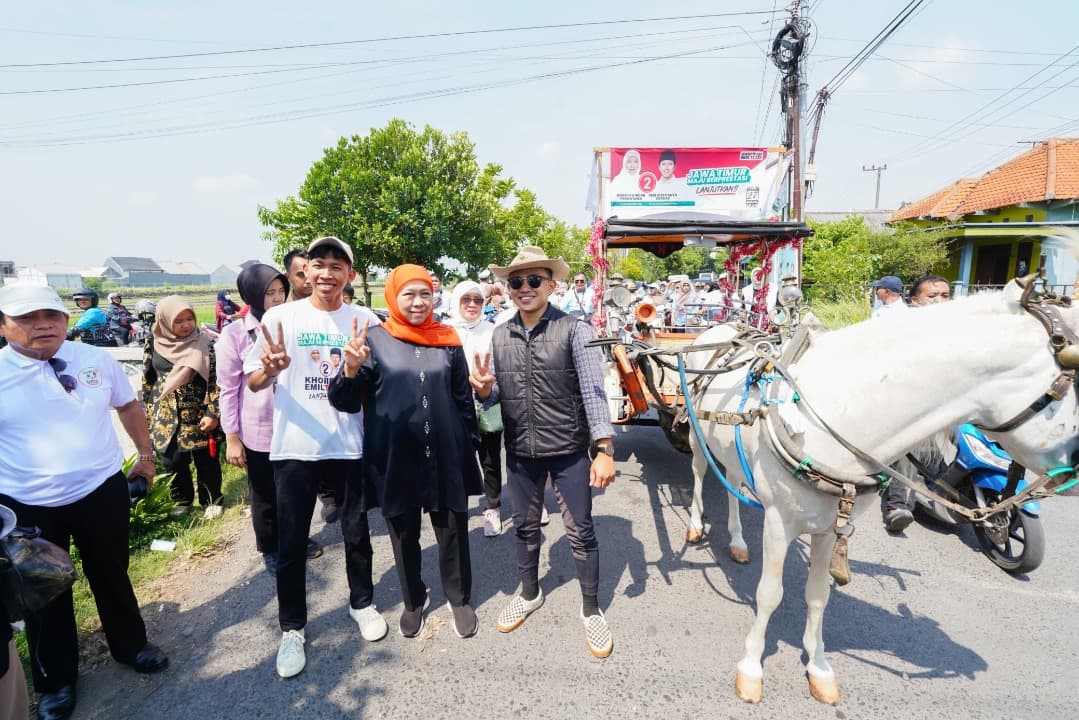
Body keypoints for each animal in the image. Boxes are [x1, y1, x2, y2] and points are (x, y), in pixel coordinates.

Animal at [681, 280, 1079, 703]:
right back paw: (695, 524)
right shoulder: (779, 522)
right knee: (700, 472)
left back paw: (738, 541)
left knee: (732, 485)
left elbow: (818, 594)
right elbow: (770, 594)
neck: (834, 413)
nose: (1075, 463)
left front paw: (819, 667)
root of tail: (723, 329)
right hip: (695, 434)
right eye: (1075, 375)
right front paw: (751, 668)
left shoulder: (830, 527)